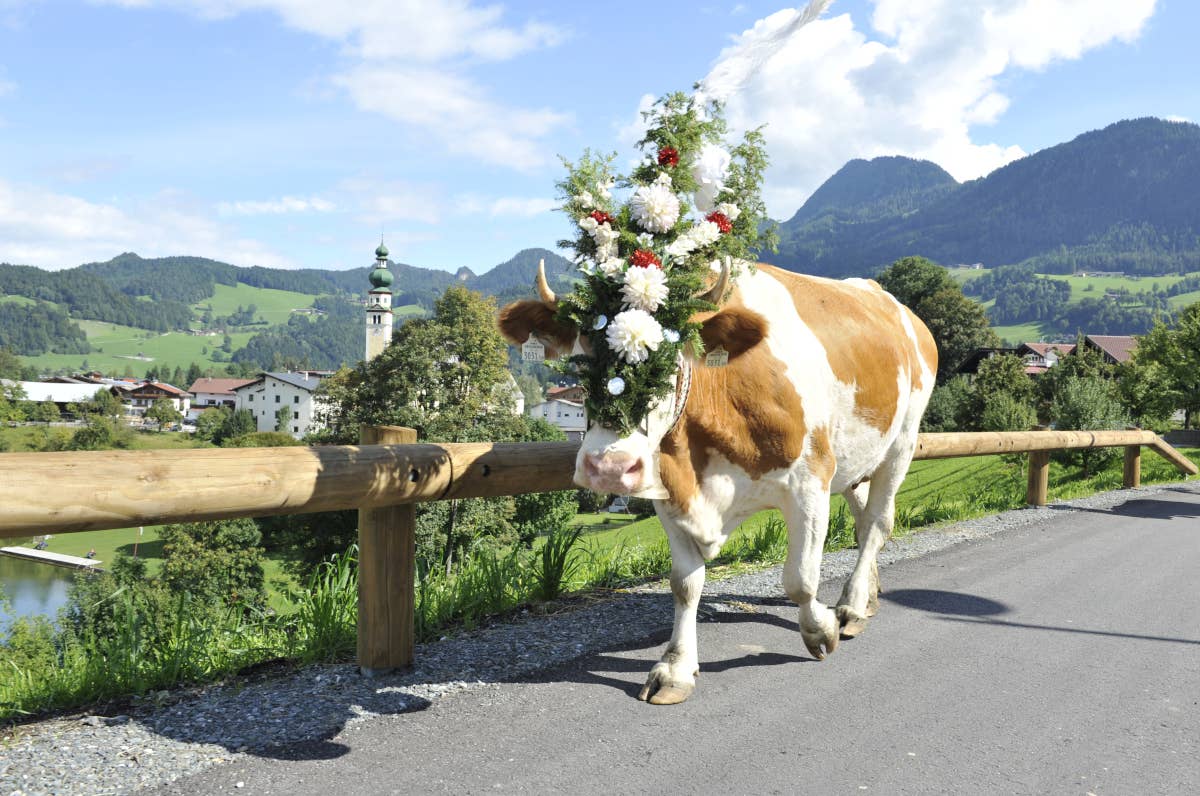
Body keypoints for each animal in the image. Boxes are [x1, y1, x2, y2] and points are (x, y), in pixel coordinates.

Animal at [496, 260, 936, 705]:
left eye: (669, 363)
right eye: (580, 365)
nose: (609, 467)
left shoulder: (810, 480)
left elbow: (799, 578)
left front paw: (820, 630)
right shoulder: (671, 494)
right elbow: (685, 584)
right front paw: (675, 668)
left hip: (901, 442)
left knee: (877, 523)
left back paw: (850, 608)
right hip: (858, 459)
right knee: (865, 522)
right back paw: (865, 597)